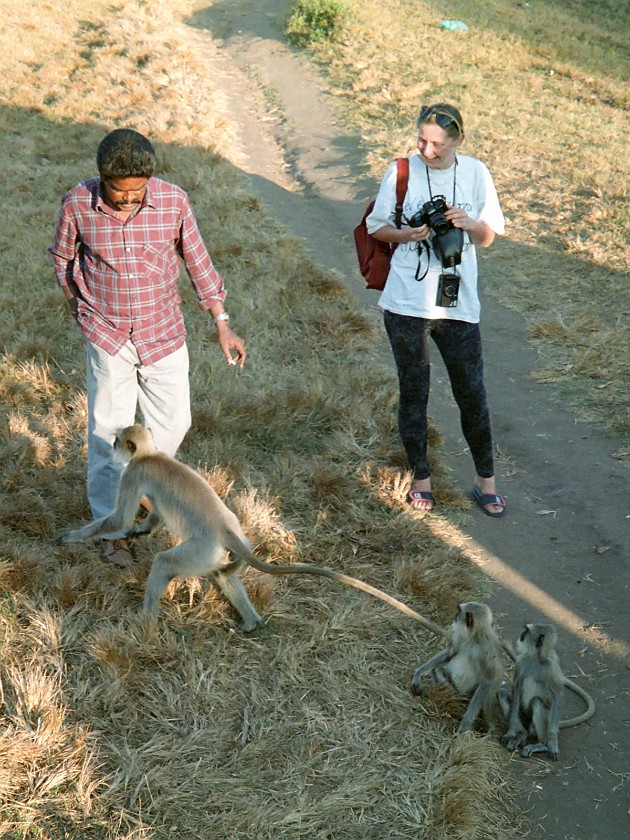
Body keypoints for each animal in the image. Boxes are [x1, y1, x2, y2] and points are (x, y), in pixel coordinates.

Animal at [55, 424, 450, 632]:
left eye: (119, 442)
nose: (112, 443)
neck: (152, 455)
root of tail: (226, 529)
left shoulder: (135, 470)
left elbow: (120, 519)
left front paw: (71, 537)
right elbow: (153, 516)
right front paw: (139, 531)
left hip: (201, 550)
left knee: (166, 563)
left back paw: (146, 621)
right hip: (225, 549)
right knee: (224, 575)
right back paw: (251, 623)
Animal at [410, 600, 512, 732]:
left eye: (459, 612)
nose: (455, 617)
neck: (475, 636)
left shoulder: (486, 647)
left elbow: (489, 680)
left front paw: (465, 725)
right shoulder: (464, 637)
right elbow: (451, 653)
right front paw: (419, 673)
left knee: (488, 691)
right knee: (438, 670)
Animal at [504, 624, 568, 760]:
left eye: (527, 631)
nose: (522, 634)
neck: (536, 657)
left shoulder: (551, 667)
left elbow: (556, 696)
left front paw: (552, 741)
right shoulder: (521, 661)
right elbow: (516, 688)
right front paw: (510, 732)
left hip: (545, 719)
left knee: (537, 702)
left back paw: (542, 744)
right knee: (503, 694)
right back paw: (521, 734)